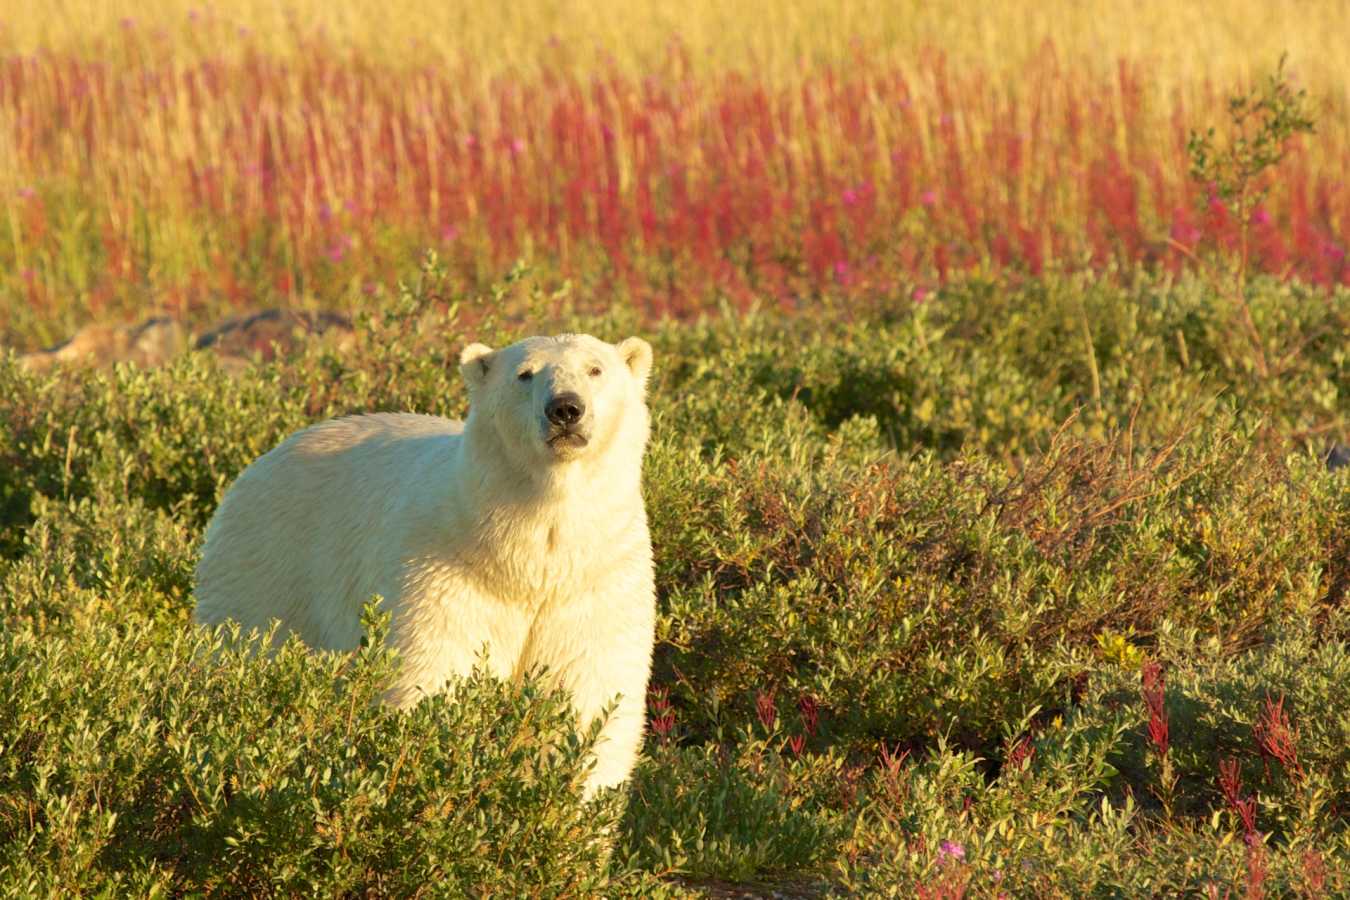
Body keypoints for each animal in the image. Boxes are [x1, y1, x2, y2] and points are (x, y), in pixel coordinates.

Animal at [193, 332, 657, 797]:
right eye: (525, 374)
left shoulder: (596, 583)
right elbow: (434, 677)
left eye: (595, 369)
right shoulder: (446, 576)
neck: (525, 558)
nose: (565, 408)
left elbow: (588, 697)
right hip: (269, 566)